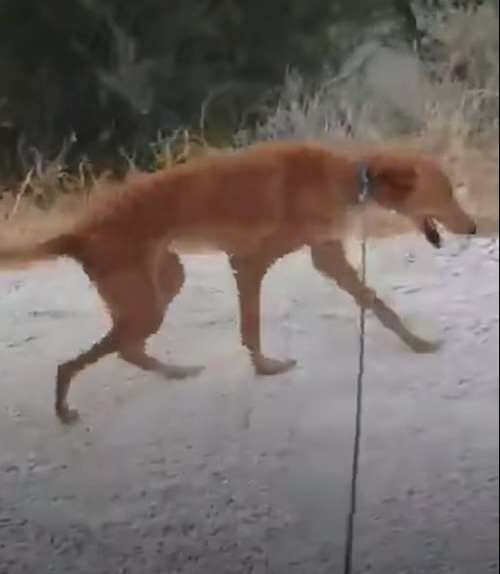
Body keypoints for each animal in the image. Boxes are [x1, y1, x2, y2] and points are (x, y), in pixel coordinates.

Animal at [0, 142, 476, 426]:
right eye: (447, 193)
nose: (472, 228)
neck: (352, 175)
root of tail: (79, 232)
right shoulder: (248, 263)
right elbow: (251, 326)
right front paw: (266, 368)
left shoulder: (328, 257)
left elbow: (378, 305)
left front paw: (418, 343)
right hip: (145, 303)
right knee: (82, 359)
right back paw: (65, 408)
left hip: (164, 283)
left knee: (126, 348)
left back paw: (175, 372)